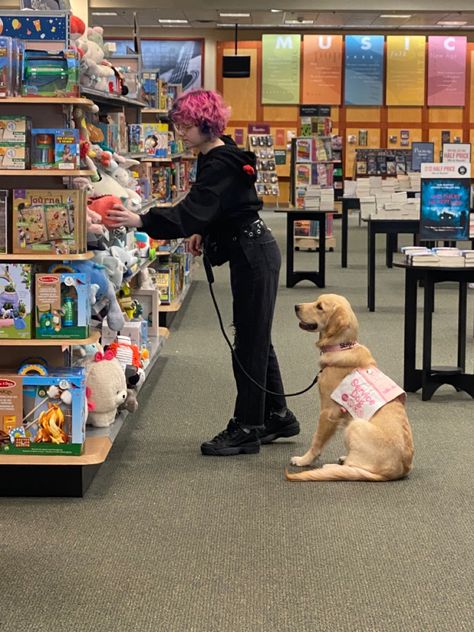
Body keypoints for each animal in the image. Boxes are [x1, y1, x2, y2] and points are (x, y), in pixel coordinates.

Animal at [286, 294, 414, 482]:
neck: (341, 347)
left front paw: (304, 460)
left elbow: (317, 441)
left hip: (355, 425)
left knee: (354, 468)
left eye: (319, 307)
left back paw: (331, 466)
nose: (296, 306)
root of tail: (400, 470)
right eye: (316, 301)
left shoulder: (328, 412)